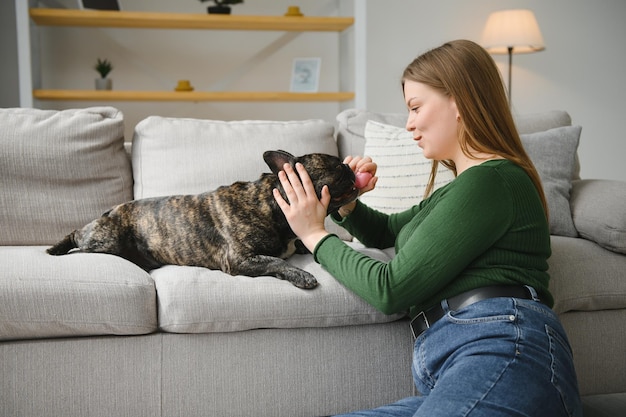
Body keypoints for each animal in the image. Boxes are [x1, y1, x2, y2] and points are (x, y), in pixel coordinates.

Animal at [46, 150, 358, 290]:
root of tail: (108, 212)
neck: (271, 203)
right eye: (334, 164)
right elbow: (276, 261)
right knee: (77, 238)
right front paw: (302, 275)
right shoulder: (240, 259)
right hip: (106, 241)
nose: (348, 165)